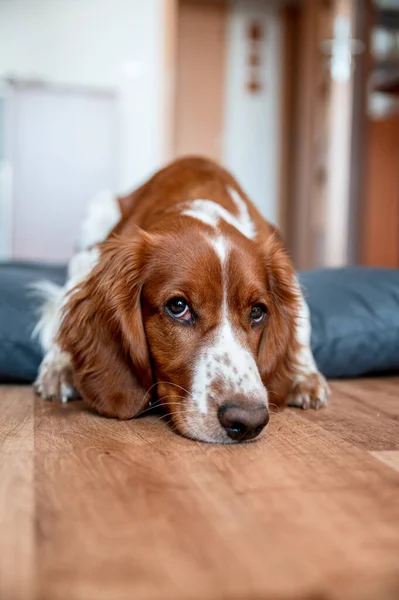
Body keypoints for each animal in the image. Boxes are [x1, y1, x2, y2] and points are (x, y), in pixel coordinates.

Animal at [34, 157, 330, 442]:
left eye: (257, 312)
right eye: (178, 307)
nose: (248, 421)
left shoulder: (287, 272)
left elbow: (301, 325)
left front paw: (304, 375)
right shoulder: (92, 258)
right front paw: (59, 365)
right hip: (97, 210)